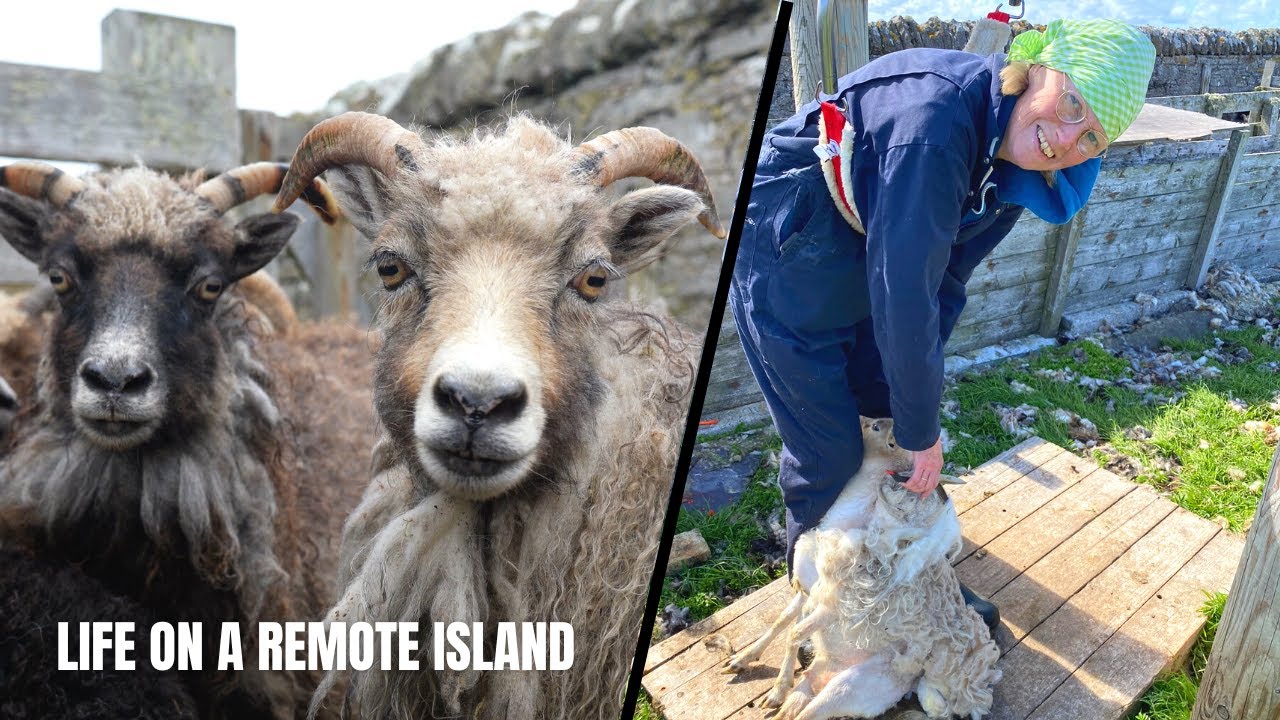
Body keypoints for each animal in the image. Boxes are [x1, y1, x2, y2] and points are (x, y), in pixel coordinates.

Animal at [724, 418, 1001, 720]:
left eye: (879, 430)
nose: (861, 420)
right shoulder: (809, 589)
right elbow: (782, 623)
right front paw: (744, 661)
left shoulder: (831, 603)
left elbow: (794, 633)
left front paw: (776, 687)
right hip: (819, 674)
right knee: (797, 703)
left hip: (847, 687)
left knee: (810, 711)